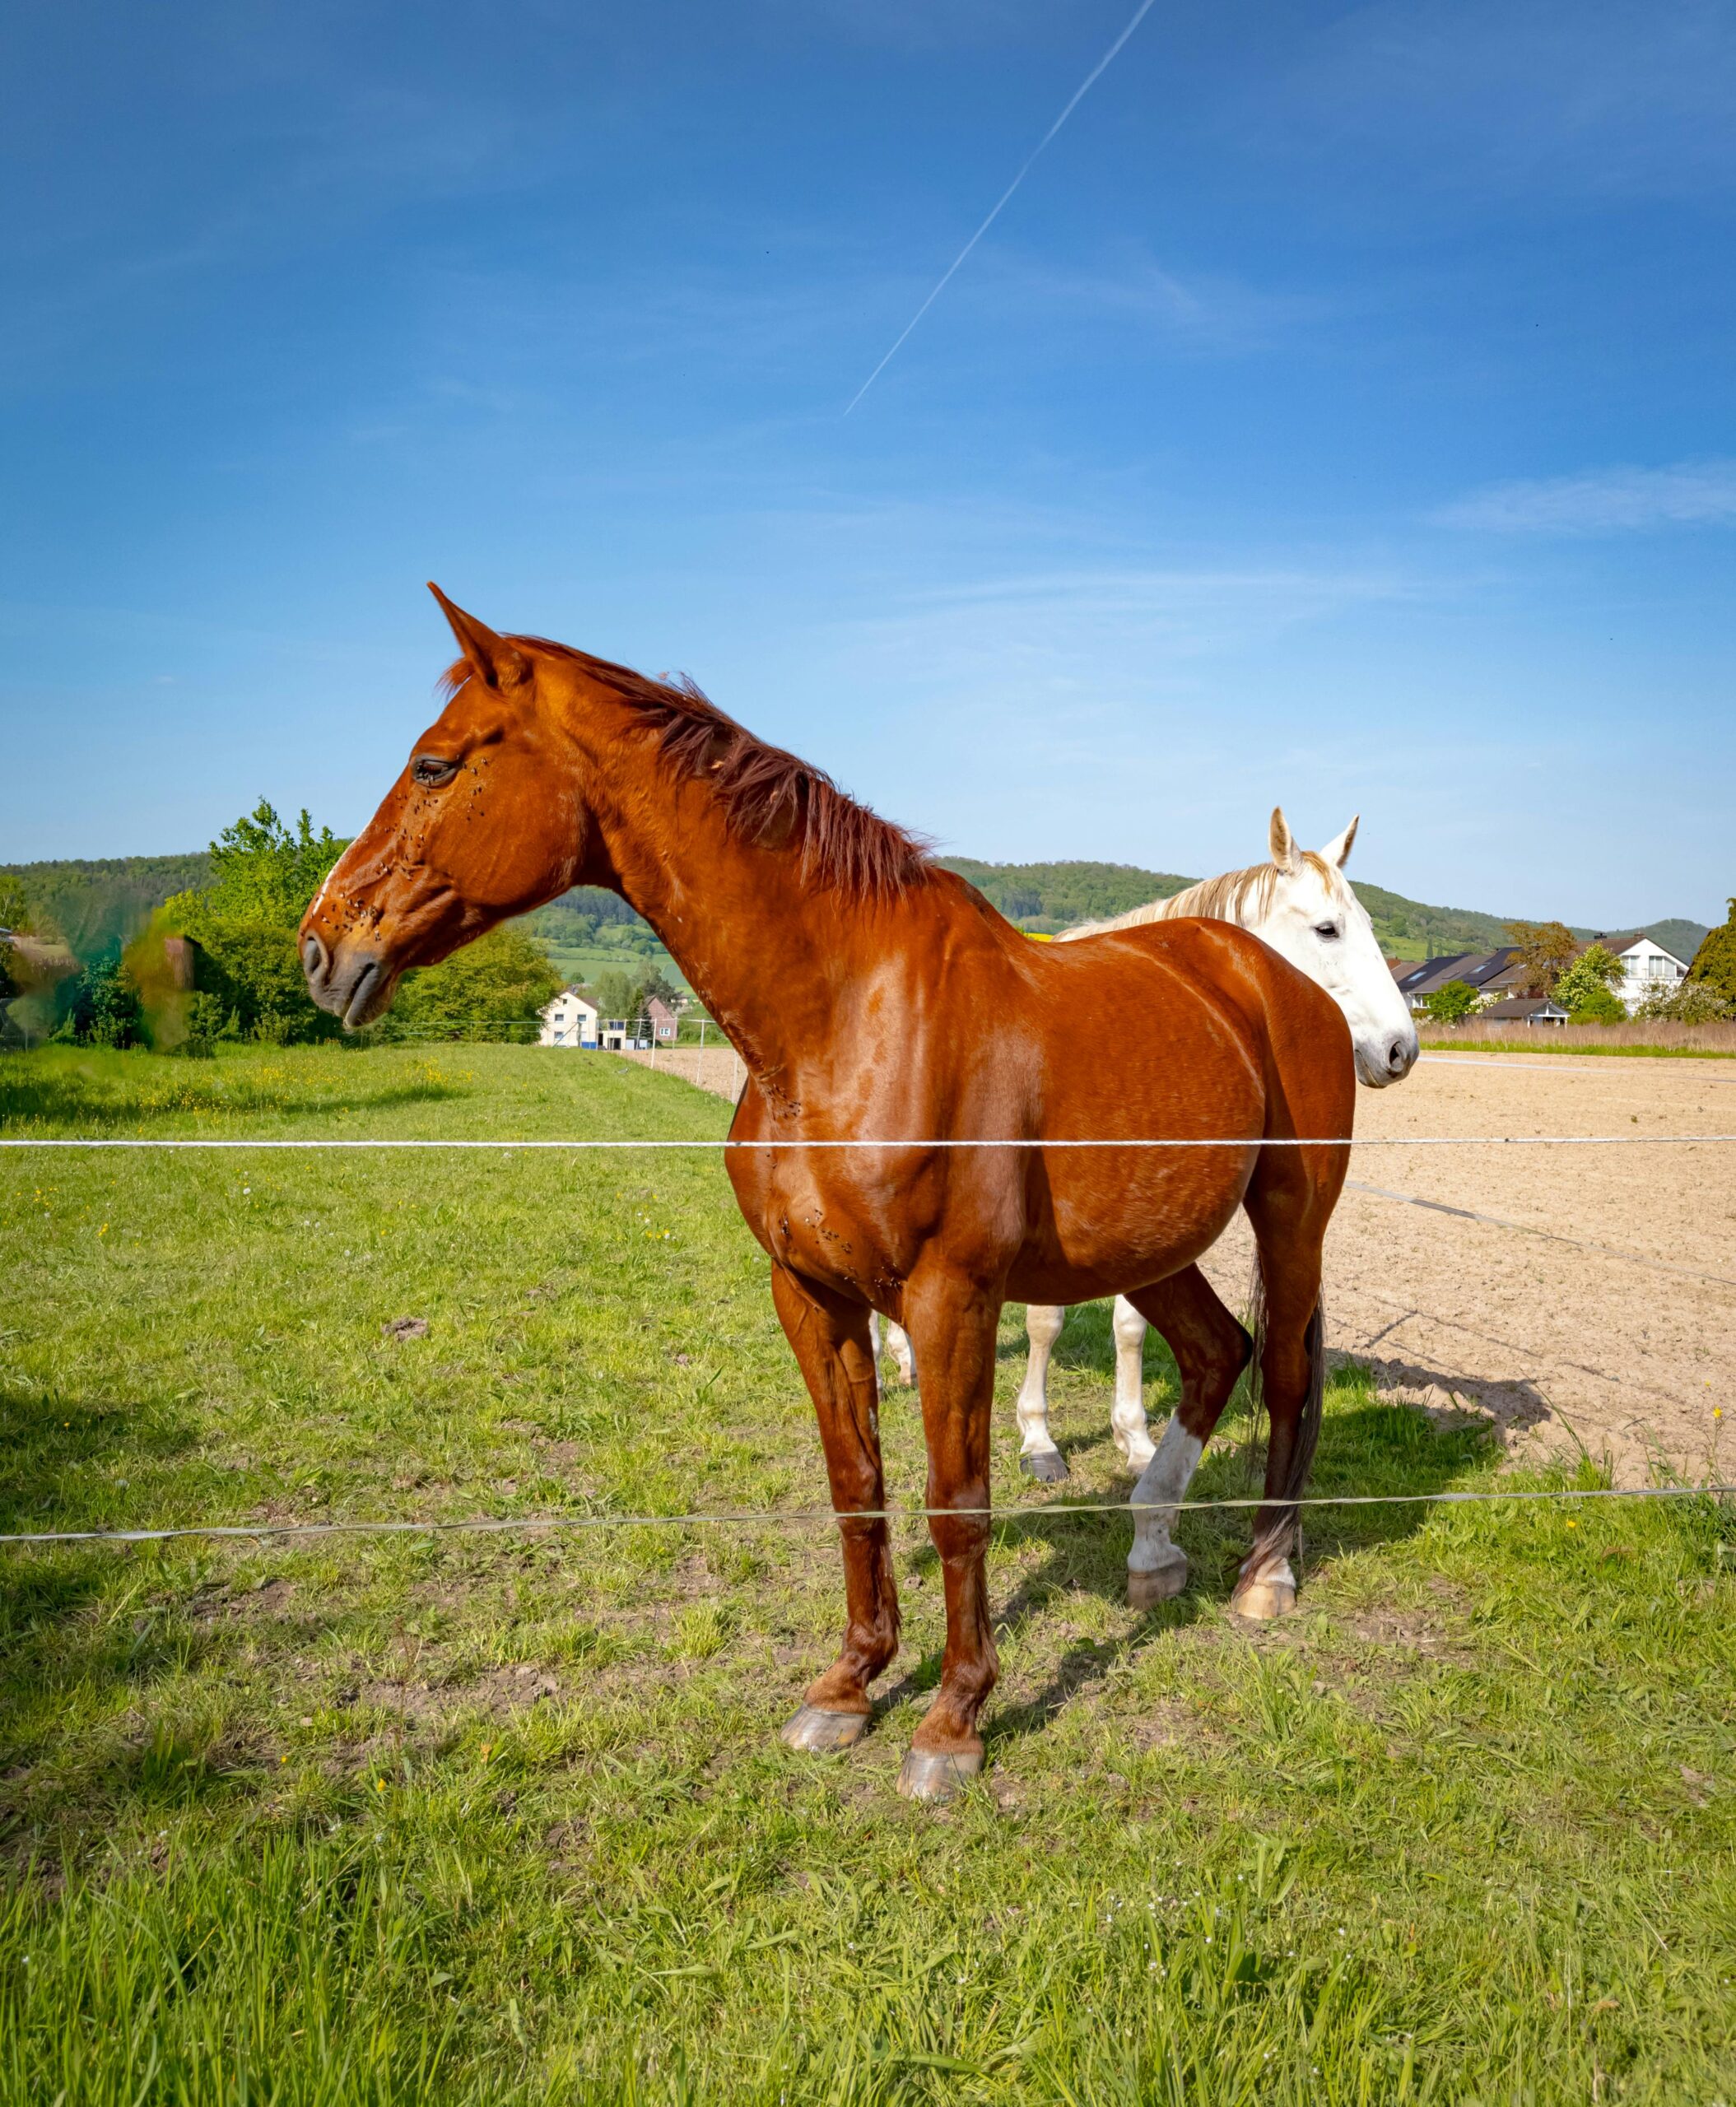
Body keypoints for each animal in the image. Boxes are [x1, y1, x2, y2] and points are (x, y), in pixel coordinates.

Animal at [301, 588, 1355, 1801]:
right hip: (1148, 1245)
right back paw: (1154, 1551)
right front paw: (849, 1686)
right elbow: (858, 1486)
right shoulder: (810, 1294)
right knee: (1216, 1353)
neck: (844, 1021)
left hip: (1290, 1219)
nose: (321, 947)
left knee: (1284, 1375)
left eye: (434, 765)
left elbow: (955, 1501)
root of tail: (1274, 979)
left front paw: (952, 1718)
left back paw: (1266, 1574)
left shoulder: (951, 1297)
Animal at [876, 814, 1417, 1481]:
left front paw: (1133, 1437)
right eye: (1327, 928)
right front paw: (1038, 1437)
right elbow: (1045, 1322)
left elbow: (1130, 1328)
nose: (1401, 1049)